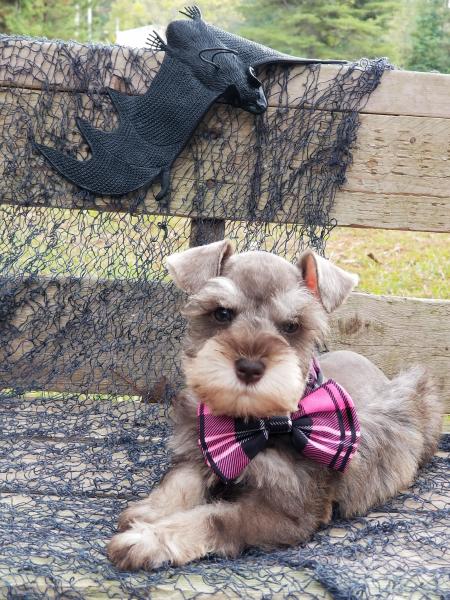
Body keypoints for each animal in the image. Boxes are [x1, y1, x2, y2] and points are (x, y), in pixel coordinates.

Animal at [108, 240, 442, 572]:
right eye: (222, 313)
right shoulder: (200, 446)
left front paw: (149, 539)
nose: (249, 367)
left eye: (292, 326)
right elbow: (180, 481)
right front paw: (151, 511)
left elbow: (215, 518)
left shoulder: (289, 510)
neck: (254, 425)